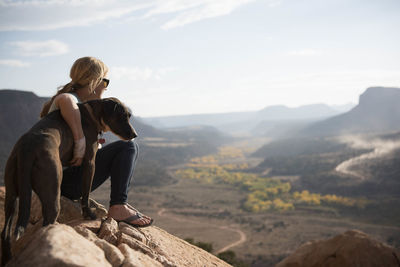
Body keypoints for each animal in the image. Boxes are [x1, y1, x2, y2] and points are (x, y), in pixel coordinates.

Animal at [1, 97, 138, 264]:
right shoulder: (90, 163)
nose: (135, 134)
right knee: (46, 224)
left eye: (128, 116)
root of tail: (28, 148)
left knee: (5, 233)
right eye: (121, 116)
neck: (92, 113)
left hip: (12, 195)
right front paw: (89, 214)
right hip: (52, 192)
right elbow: (85, 193)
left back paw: (8, 258)